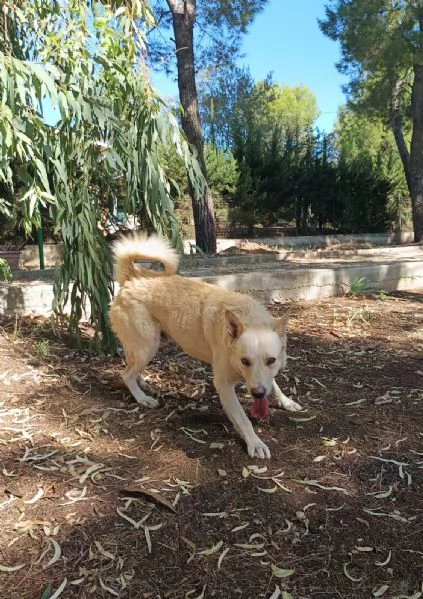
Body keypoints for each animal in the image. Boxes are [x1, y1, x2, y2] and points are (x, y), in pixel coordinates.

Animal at [108, 234, 302, 460]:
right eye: (245, 361)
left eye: (271, 360)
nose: (258, 394)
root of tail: (132, 277)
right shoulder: (224, 386)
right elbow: (243, 419)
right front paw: (255, 443)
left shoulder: (264, 376)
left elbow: (274, 384)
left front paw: (286, 401)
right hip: (147, 346)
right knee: (126, 374)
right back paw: (142, 398)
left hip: (147, 346)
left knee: (131, 368)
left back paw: (143, 384)